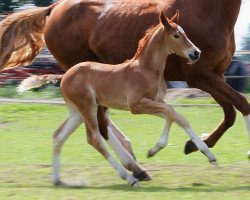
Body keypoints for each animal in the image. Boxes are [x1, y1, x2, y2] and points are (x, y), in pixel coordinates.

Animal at [0, 0, 247, 157]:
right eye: (177, 35)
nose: (195, 53)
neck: (209, 11)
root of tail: (54, 7)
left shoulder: (216, 74)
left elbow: (230, 112)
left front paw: (197, 144)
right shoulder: (200, 75)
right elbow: (242, 104)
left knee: (99, 119)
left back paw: (130, 153)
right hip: (81, 76)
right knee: (99, 123)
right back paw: (131, 164)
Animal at [19, 11, 217, 188]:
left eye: (185, 33)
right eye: (176, 35)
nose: (196, 53)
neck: (146, 69)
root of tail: (64, 75)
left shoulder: (156, 102)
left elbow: (178, 116)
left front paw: (210, 156)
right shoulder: (136, 105)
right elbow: (171, 112)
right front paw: (154, 150)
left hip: (77, 112)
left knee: (59, 136)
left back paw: (58, 180)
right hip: (88, 107)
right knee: (95, 138)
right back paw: (130, 178)